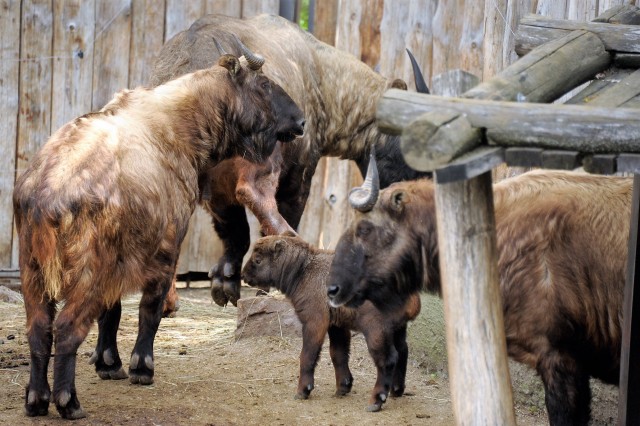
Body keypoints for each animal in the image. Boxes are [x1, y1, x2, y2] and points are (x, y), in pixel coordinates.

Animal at [14, 53, 304, 420]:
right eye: (264, 84)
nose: (301, 121)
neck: (177, 126)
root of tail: (48, 192)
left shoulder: (118, 264)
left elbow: (112, 312)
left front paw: (109, 364)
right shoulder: (166, 248)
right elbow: (150, 311)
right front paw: (141, 367)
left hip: (32, 272)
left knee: (38, 333)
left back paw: (36, 399)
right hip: (85, 274)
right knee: (66, 330)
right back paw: (68, 401)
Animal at [149, 13, 431, 309]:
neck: (321, 75)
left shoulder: (215, 191)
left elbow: (233, 230)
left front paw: (225, 280)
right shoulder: (299, 174)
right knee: (256, 196)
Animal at [241, 232, 421, 412]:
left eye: (258, 259)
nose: (243, 275)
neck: (303, 269)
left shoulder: (315, 321)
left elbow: (308, 355)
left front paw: (303, 391)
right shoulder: (337, 326)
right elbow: (338, 354)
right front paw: (343, 387)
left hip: (376, 331)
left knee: (388, 359)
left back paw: (376, 401)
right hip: (398, 329)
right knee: (403, 351)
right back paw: (396, 390)